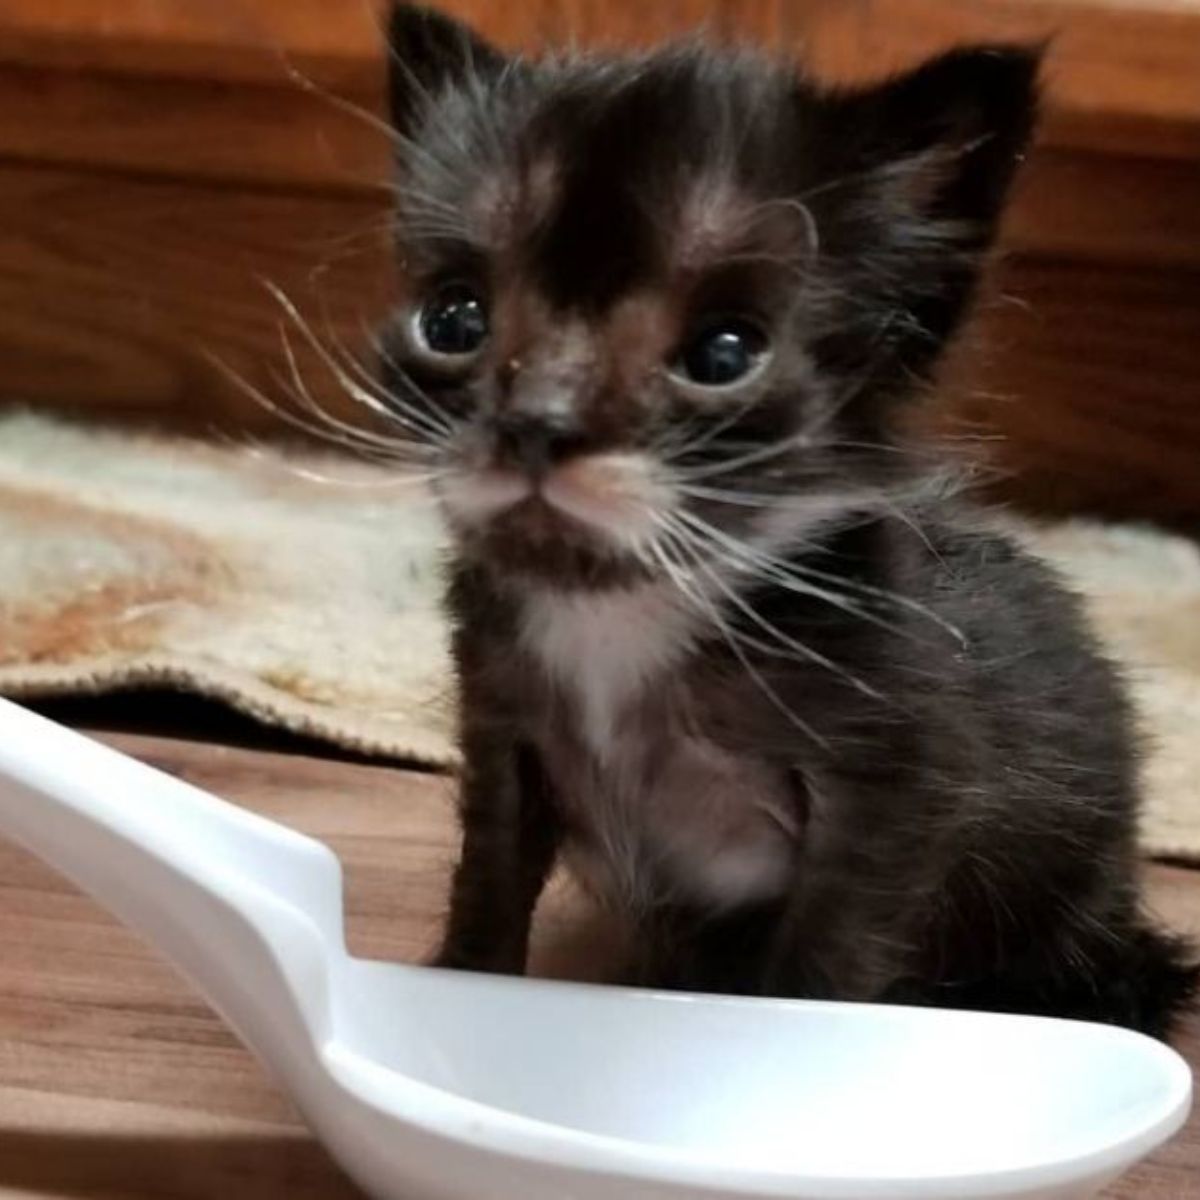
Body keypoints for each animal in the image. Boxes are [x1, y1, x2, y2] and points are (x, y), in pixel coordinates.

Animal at [381, 0, 1200, 1036]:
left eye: (725, 354)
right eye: (453, 320)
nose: (536, 424)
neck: (623, 615)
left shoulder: (889, 796)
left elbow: (823, 959)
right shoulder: (503, 733)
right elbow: (488, 885)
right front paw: (460, 988)